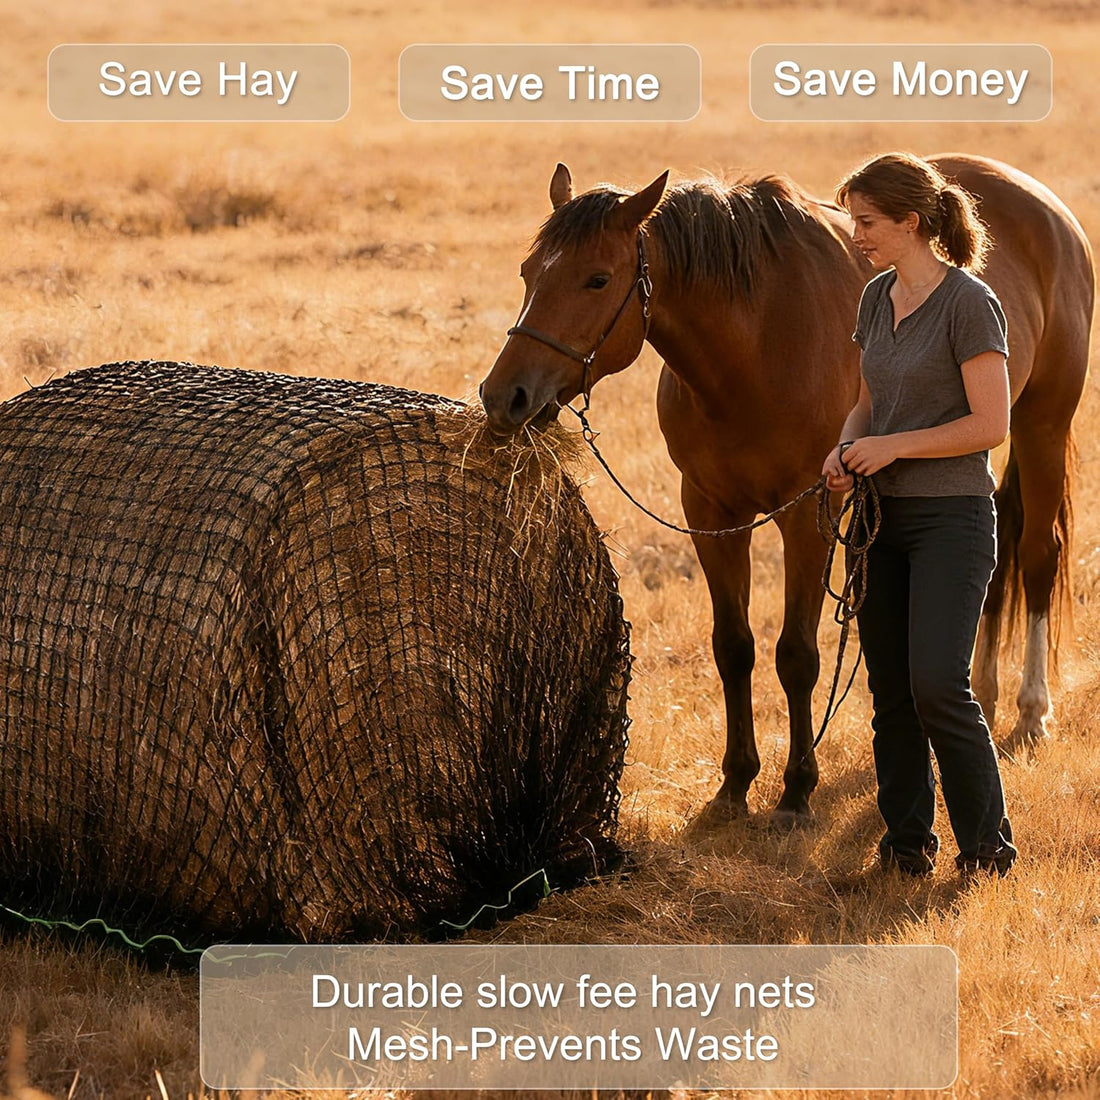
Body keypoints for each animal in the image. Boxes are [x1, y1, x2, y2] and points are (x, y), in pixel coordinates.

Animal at [479, 156, 1093, 823]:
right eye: (527, 273)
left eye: (596, 279)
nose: (504, 396)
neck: (759, 343)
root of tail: (1043, 207)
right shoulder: (710, 514)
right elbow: (733, 647)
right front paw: (734, 783)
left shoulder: (808, 515)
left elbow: (796, 655)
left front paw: (797, 788)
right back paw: (982, 690)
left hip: (1042, 423)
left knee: (1037, 555)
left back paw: (1032, 711)